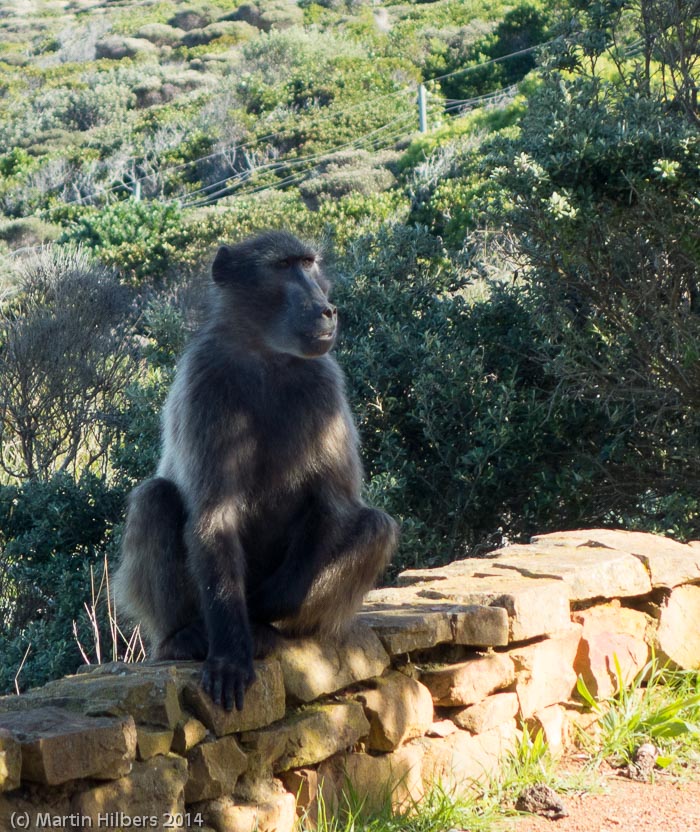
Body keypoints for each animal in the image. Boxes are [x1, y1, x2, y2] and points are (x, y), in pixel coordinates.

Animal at [113, 231, 398, 712]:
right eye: (284, 267)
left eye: (309, 263)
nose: (326, 309)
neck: (268, 356)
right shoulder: (206, 379)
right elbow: (213, 514)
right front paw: (231, 653)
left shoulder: (325, 380)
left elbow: (334, 504)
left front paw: (259, 609)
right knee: (156, 498)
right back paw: (182, 638)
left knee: (375, 525)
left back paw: (268, 631)